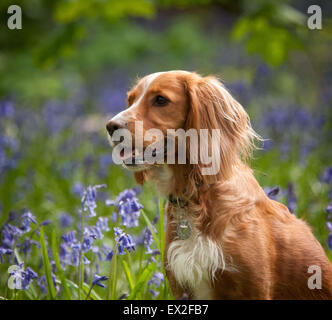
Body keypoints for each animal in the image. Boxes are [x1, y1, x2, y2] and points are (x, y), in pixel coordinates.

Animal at [106, 70, 332, 300]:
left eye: (160, 100)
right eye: (130, 100)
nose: (110, 126)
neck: (197, 196)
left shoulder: (254, 289)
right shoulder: (181, 287)